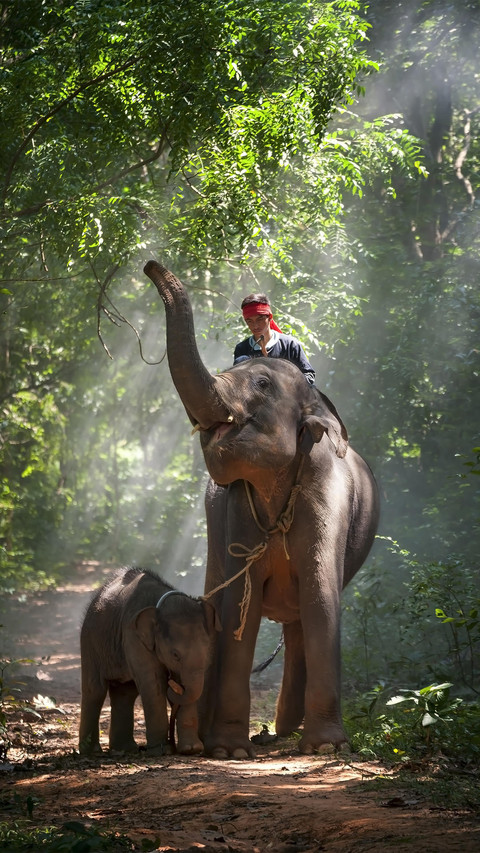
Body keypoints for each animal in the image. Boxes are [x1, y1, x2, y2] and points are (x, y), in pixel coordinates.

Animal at [79, 567, 219, 755]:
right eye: (175, 654)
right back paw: (92, 752)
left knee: (124, 692)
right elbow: (153, 684)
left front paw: (191, 749)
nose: (173, 686)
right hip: (90, 641)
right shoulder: (133, 636)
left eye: (208, 651)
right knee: (95, 690)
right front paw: (162, 750)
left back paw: (125, 749)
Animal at [143, 261, 380, 759]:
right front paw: (228, 752)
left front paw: (326, 748)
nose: (149, 264)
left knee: (299, 621)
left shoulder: (326, 492)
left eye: (263, 384)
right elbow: (239, 607)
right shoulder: (237, 507)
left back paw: (289, 732)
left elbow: (321, 597)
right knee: (223, 602)